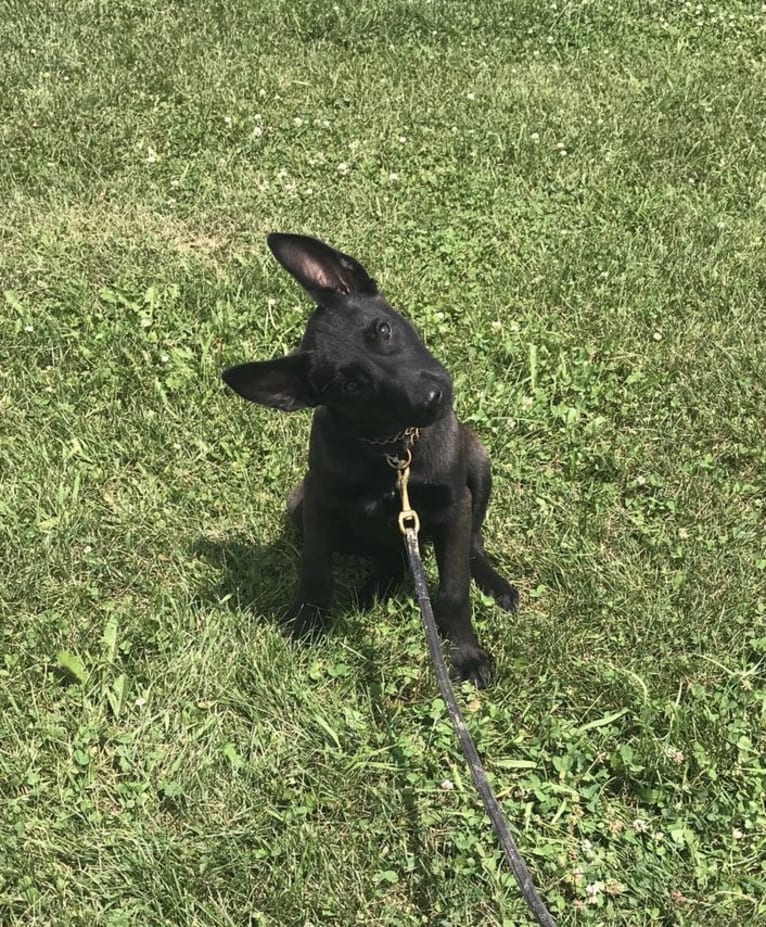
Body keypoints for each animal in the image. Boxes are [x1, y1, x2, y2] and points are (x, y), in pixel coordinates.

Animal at [225, 236, 520, 684]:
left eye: (383, 330)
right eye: (351, 385)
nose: (432, 398)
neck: (392, 448)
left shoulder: (454, 507)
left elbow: (454, 589)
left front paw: (466, 654)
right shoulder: (318, 504)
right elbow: (315, 571)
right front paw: (307, 622)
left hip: (478, 463)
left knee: (472, 544)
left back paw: (493, 582)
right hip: (299, 507)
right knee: (393, 556)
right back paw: (376, 587)